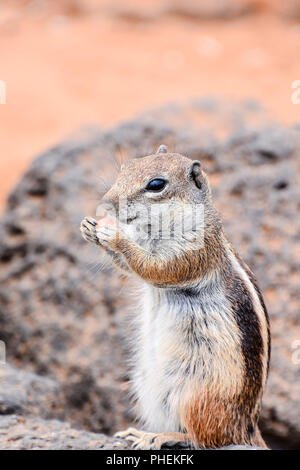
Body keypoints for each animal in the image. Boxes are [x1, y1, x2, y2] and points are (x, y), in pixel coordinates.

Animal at [81, 145, 270, 450]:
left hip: (196, 399)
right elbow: (132, 267)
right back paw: (140, 433)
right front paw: (90, 227)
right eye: (126, 167)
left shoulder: (193, 252)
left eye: (156, 185)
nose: (107, 202)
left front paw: (114, 235)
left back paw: (160, 436)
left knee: (206, 438)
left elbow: (154, 268)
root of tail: (246, 428)